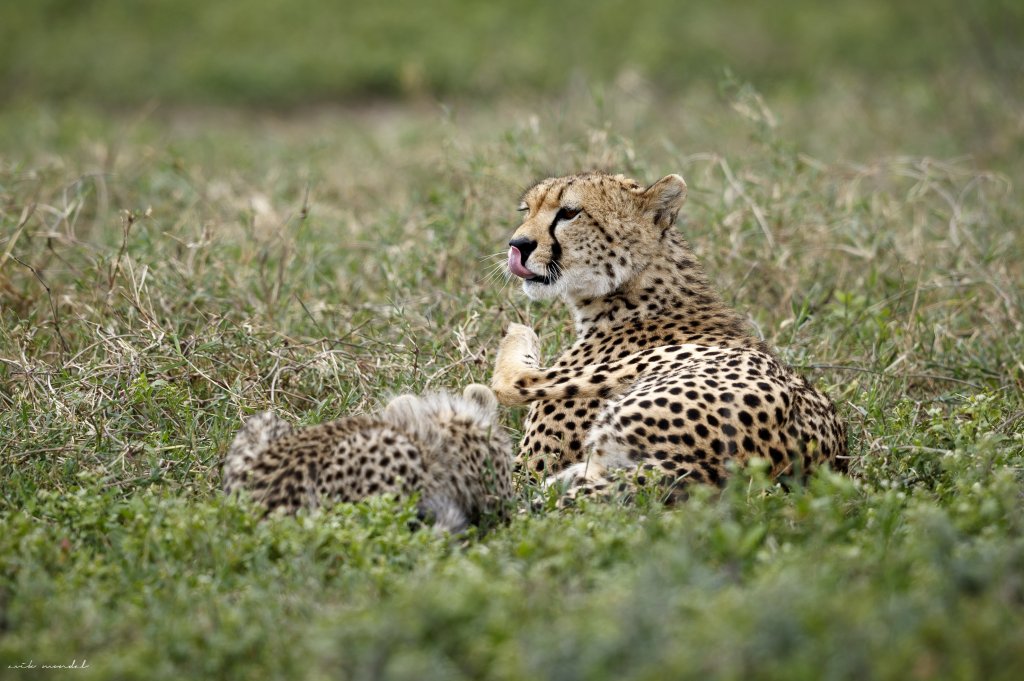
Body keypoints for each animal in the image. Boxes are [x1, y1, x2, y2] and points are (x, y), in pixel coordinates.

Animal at [491, 173, 843, 497]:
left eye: (568, 212)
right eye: (527, 210)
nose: (517, 245)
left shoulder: (531, 467)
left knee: (511, 383)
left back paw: (518, 335)